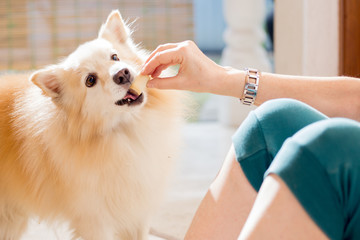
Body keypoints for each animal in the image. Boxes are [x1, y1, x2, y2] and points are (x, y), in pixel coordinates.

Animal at [0, 9, 184, 240]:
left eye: (115, 57)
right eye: (90, 80)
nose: (122, 73)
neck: (126, 131)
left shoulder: (135, 213)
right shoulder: (94, 220)